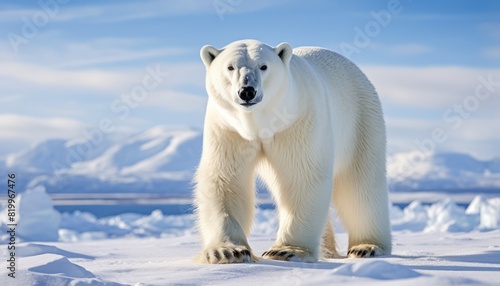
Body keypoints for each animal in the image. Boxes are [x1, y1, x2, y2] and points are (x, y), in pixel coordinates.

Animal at [194, 38, 390, 264]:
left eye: (263, 66)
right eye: (230, 67)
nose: (247, 91)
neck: (260, 124)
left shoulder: (297, 123)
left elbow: (302, 176)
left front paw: (286, 250)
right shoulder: (228, 129)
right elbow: (225, 179)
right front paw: (227, 251)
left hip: (361, 121)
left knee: (361, 185)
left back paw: (367, 246)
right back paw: (328, 249)